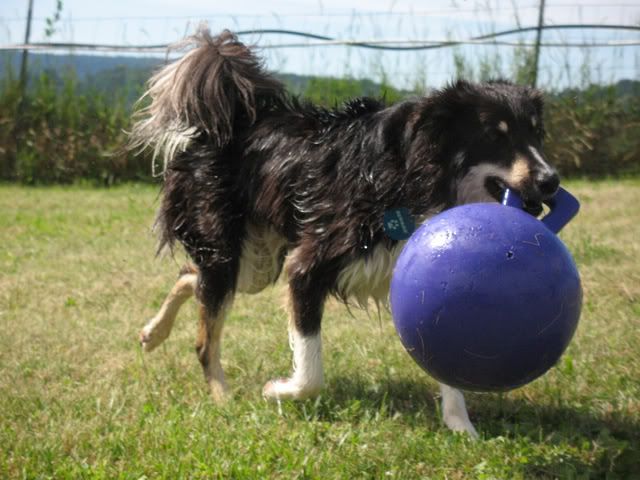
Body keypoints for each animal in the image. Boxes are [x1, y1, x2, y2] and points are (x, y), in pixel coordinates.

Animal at [131, 27, 560, 438]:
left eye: (537, 134)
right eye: (494, 136)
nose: (551, 181)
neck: (412, 176)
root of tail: (229, 120)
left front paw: (461, 426)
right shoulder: (309, 263)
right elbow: (311, 372)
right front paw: (278, 390)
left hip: (255, 263)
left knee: (190, 276)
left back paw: (153, 333)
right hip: (229, 250)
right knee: (205, 335)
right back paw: (222, 397)